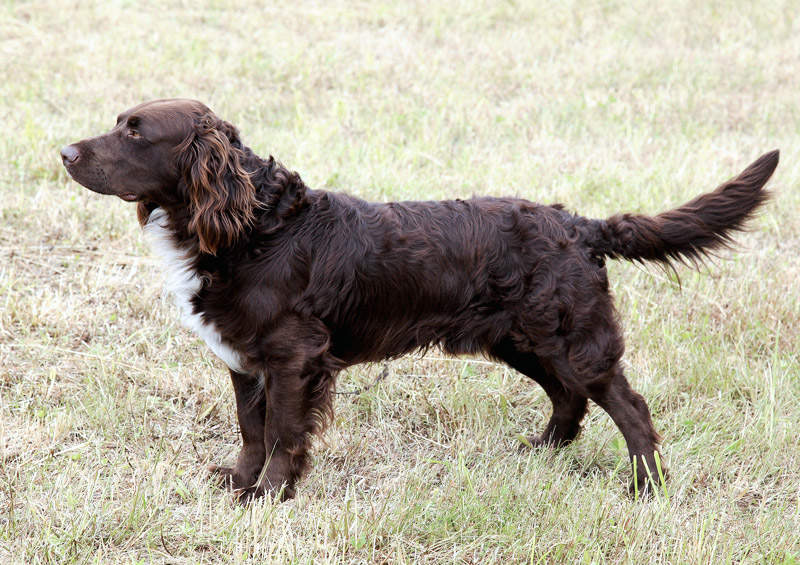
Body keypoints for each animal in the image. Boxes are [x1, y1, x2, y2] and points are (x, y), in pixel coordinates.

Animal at [61, 100, 776, 498]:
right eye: (118, 122)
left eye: (136, 133)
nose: (64, 150)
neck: (255, 226)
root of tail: (577, 224)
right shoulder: (245, 359)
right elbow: (251, 429)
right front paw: (239, 483)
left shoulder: (294, 358)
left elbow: (285, 433)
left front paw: (270, 496)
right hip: (523, 339)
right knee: (569, 399)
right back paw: (541, 451)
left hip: (571, 338)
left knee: (631, 408)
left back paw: (646, 489)